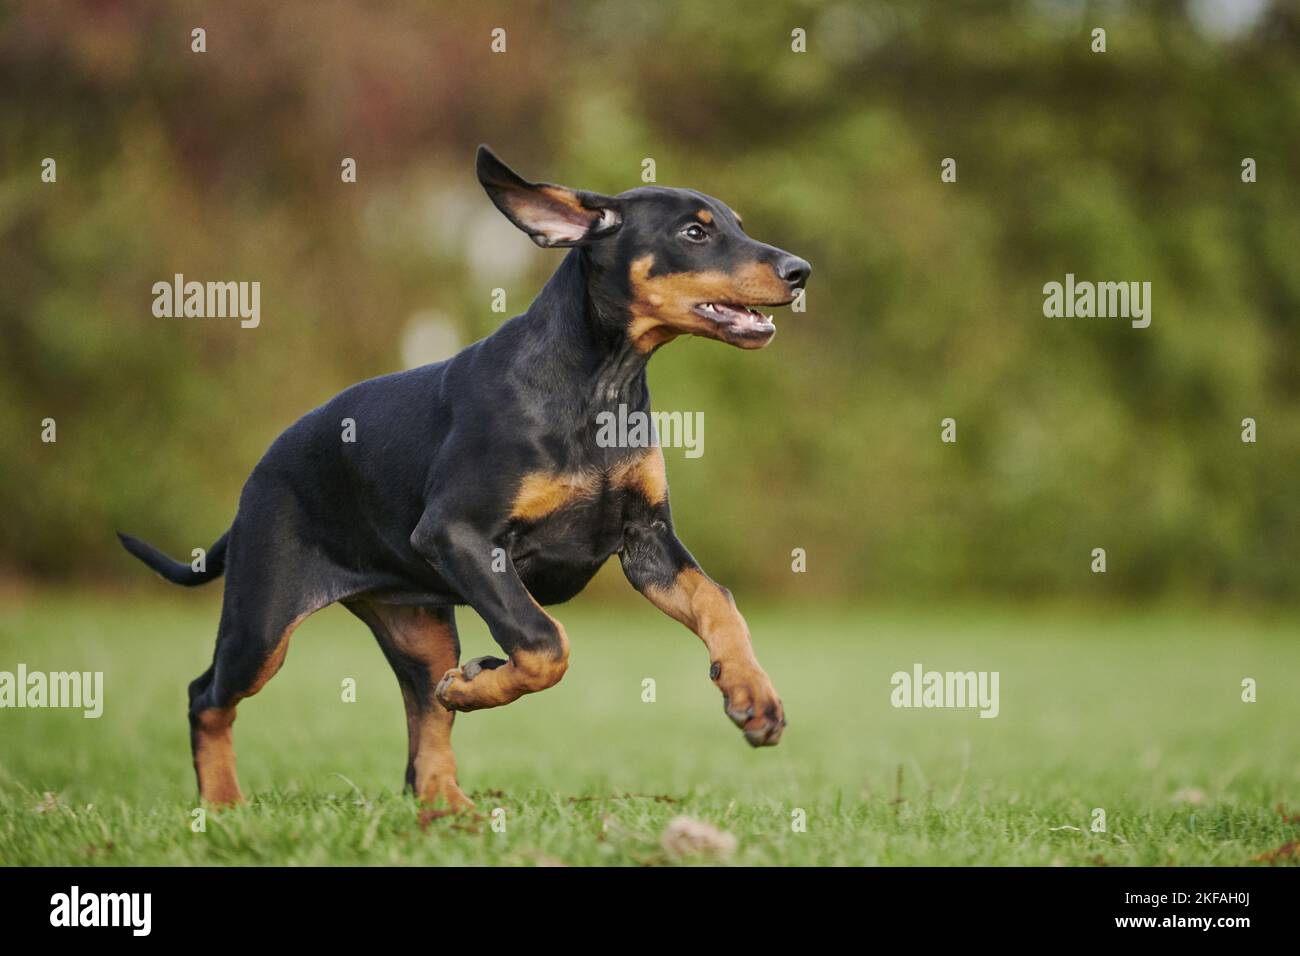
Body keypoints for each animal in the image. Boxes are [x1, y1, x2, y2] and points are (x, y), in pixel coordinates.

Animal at [122, 147, 811, 806]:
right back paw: (223, 802)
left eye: (738, 226)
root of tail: (260, 474)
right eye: (694, 232)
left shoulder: (647, 540)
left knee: (423, 720)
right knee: (207, 695)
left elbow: (719, 603)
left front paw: (752, 695)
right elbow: (545, 642)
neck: (599, 383)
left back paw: (453, 806)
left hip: (418, 626)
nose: (799, 272)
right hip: (262, 622)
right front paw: (482, 682)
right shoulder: (457, 535)